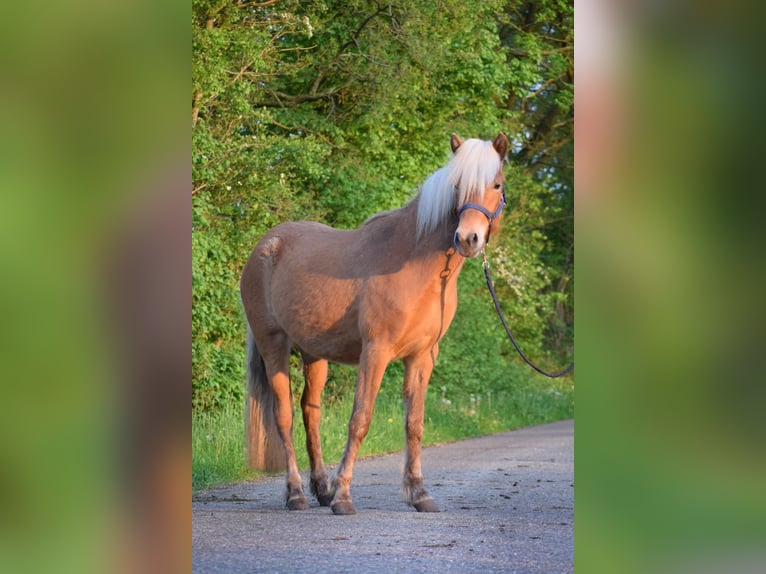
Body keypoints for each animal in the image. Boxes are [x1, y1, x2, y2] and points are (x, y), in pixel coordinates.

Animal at [240, 132, 509, 515]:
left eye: (496, 184)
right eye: (457, 185)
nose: (468, 239)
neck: (415, 264)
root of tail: (266, 246)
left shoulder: (422, 356)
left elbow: (414, 423)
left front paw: (419, 494)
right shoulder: (376, 351)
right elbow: (360, 420)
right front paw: (344, 496)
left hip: (314, 352)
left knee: (311, 412)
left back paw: (321, 488)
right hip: (272, 343)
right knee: (284, 415)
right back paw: (296, 494)